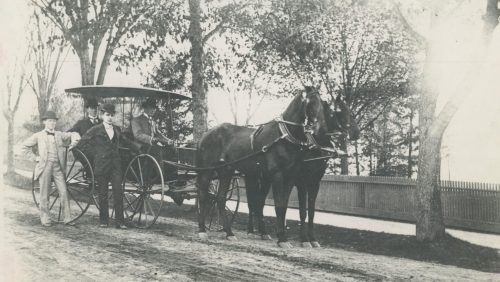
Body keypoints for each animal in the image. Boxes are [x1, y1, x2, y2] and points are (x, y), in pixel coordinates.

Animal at [195, 87, 328, 245]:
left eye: (322, 103)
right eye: (311, 103)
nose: (319, 128)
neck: (284, 136)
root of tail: (206, 134)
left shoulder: (290, 177)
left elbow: (283, 205)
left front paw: (281, 236)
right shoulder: (277, 175)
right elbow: (279, 205)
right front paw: (282, 238)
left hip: (226, 171)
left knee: (220, 198)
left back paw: (229, 232)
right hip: (207, 171)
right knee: (203, 196)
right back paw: (202, 230)